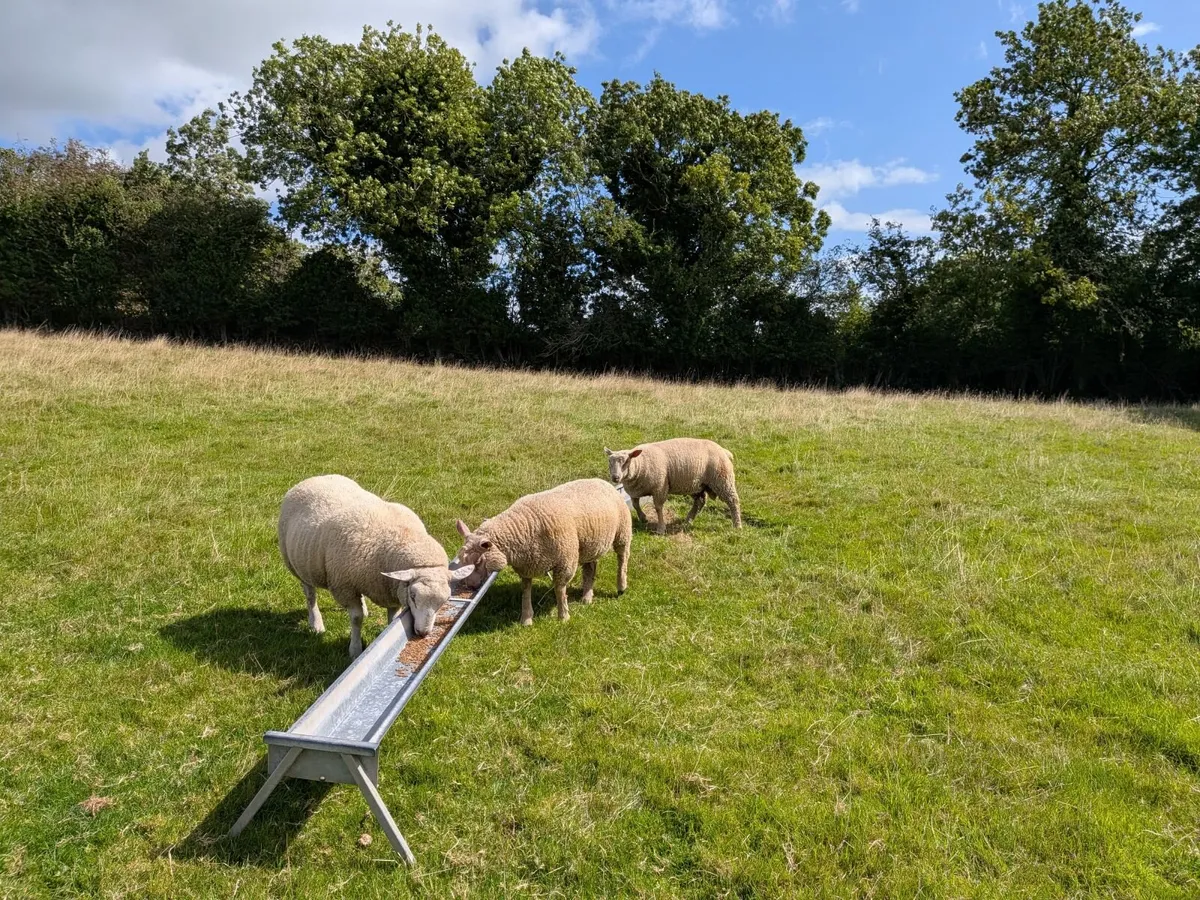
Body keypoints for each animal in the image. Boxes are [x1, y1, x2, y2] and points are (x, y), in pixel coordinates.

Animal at [278, 474, 475, 659]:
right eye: (413, 596)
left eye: (444, 601)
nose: (422, 633)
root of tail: (316, 477)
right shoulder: (344, 587)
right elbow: (356, 619)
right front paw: (355, 649)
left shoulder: (389, 590)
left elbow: (392, 617)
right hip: (298, 565)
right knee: (310, 594)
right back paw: (316, 623)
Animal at [452, 478, 632, 626]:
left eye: (478, 562)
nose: (469, 585)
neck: (524, 525)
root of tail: (601, 481)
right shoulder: (527, 565)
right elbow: (525, 591)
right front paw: (526, 619)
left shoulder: (565, 562)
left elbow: (559, 589)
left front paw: (563, 616)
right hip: (590, 545)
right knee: (590, 569)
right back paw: (587, 597)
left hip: (622, 532)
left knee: (622, 558)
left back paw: (621, 586)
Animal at [604, 438, 741, 534]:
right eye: (609, 462)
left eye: (626, 461)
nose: (615, 477)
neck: (640, 464)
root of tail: (724, 451)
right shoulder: (635, 490)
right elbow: (636, 505)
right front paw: (643, 518)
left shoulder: (660, 487)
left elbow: (658, 508)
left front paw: (660, 528)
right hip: (696, 485)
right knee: (700, 502)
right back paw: (688, 521)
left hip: (723, 480)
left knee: (733, 501)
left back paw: (737, 525)